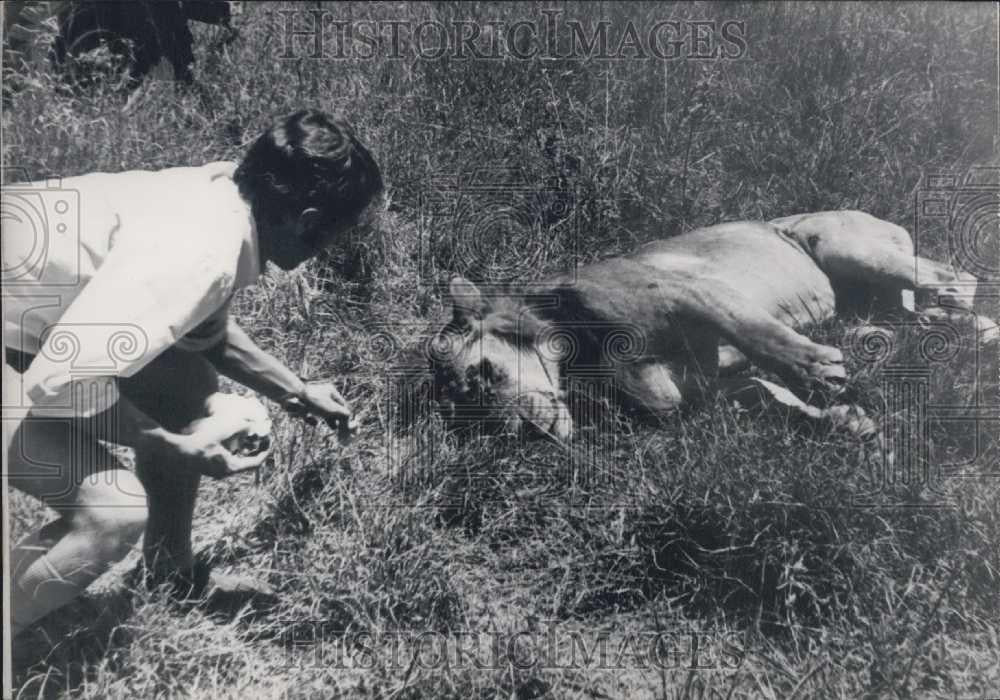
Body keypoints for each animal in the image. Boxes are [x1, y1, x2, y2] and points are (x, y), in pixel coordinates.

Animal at [430, 210, 995, 441]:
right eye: (471, 412)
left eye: (484, 373)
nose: (519, 430)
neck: (580, 361)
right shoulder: (700, 389)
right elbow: (772, 397)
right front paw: (847, 423)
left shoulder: (693, 290)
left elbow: (758, 335)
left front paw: (818, 370)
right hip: (876, 295)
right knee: (914, 305)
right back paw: (944, 325)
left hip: (838, 243)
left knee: (957, 276)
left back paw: (972, 325)